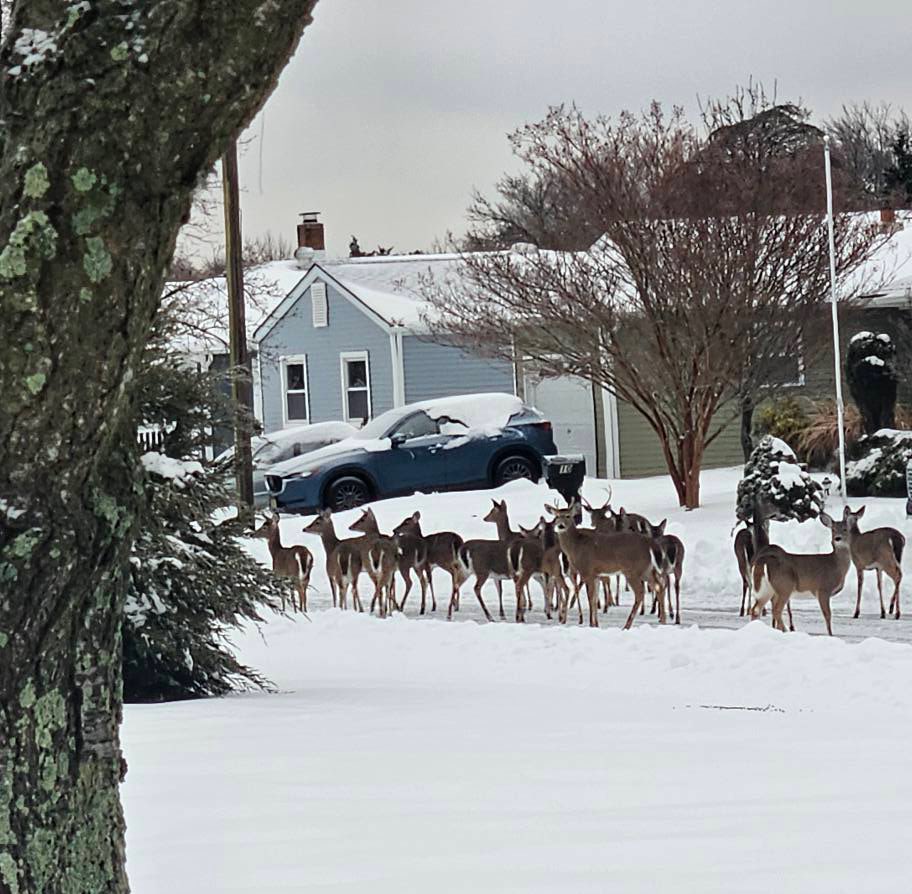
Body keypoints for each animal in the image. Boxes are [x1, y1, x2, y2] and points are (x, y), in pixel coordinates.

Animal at [750, 507, 855, 636]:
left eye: (845, 529)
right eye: (833, 529)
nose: (837, 538)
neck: (836, 564)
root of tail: (763, 561)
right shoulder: (823, 588)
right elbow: (827, 615)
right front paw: (831, 635)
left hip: (767, 588)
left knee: (756, 609)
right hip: (784, 585)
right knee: (776, 610)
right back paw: (785, 631)